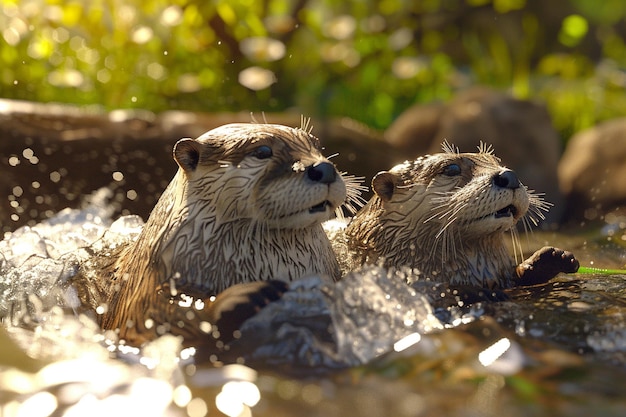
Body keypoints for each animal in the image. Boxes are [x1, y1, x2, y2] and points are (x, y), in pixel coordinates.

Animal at [75, 122, 358, 346]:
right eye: (263, 152)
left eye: (317, 146)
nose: (324, 169)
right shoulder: (140, 290)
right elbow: (151, 318)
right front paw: (238, 297)